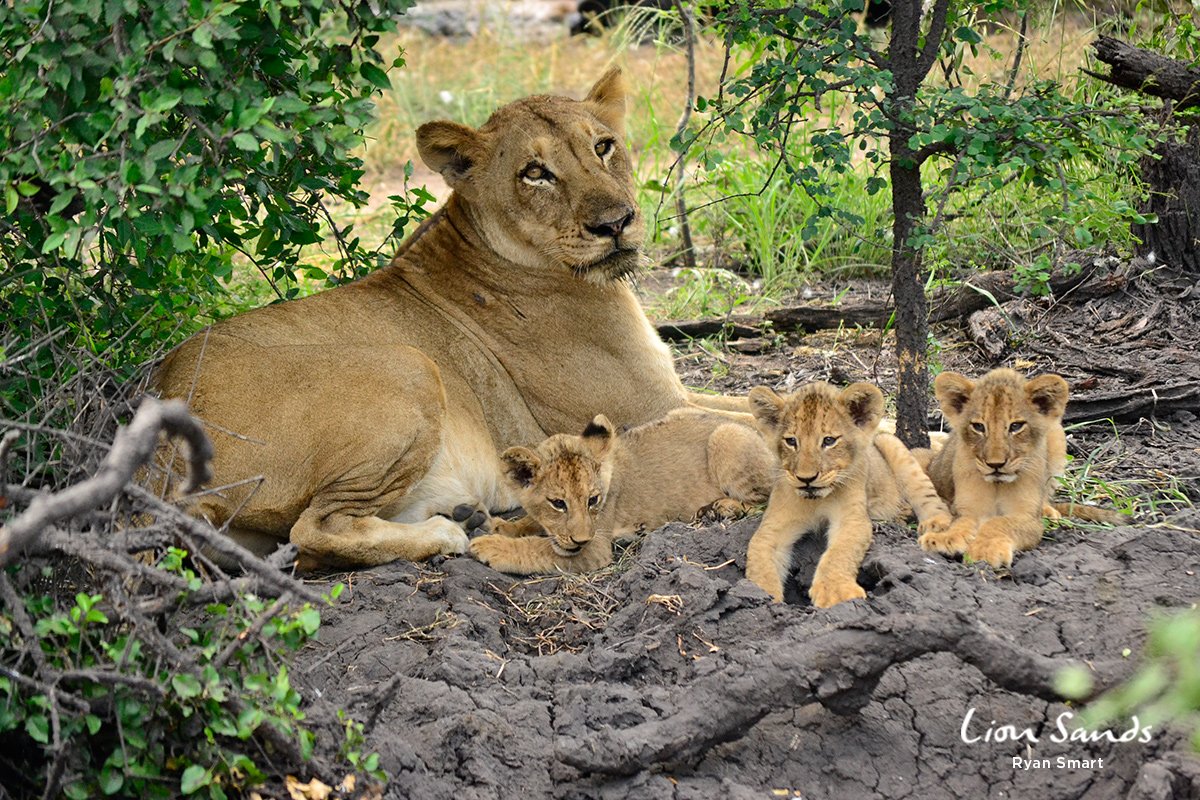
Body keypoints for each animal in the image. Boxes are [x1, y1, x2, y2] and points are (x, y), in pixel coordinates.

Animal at [151, 68, 744, 570]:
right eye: (535, 173)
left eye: (603, 146)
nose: (616, 223)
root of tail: (157, 453)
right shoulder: (646, 409)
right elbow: (750, 414)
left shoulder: (667, 400)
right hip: (408, 366)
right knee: (314, 527)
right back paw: (448, 532)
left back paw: (464, 514)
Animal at [468, 409, 775, 575]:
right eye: (558, 503)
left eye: (593, 500)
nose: (580, 539)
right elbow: (530, 523)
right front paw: (500, 526)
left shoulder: (595, 547)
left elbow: (537, 547)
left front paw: (491, 546)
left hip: (727, 437)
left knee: (766, 498)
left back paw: (721, 508)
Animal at [743, 382, 953, 608]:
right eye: (791, 441)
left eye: (829, 441)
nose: (806, 478)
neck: (817, 501)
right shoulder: (774, 524)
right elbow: (759, 557)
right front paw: (760, 595)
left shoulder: (852, 518)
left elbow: (840, 552)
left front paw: (835, 591)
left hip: (891, 444)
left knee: (928, 495)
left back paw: (934, 523)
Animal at [915, 368, 1123, 568]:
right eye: (979, 427)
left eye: (1016, 426)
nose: (995, 464)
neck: (997, 485)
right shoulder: (968, 509)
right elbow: (961, 523)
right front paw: (945, 539)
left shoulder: (1028, 519)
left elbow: (999, 522)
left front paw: (985, 550)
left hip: (1057, 435)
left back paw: (1048, 511)